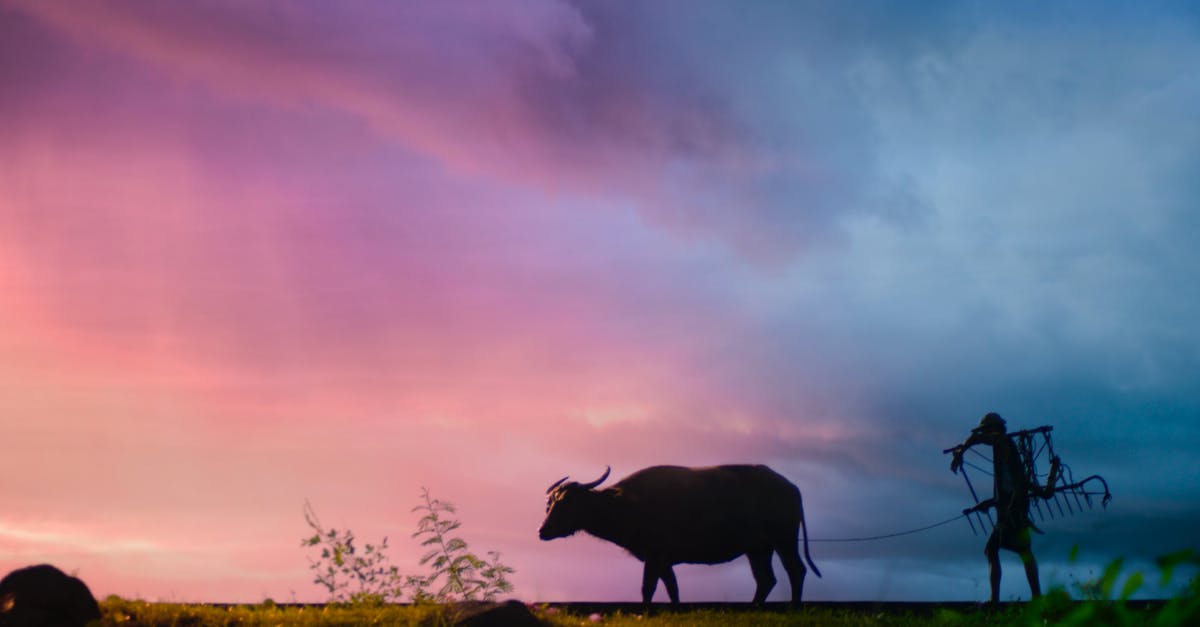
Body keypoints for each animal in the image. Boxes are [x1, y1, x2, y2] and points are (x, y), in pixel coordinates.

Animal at [540, 461, 820, 602]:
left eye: (568, 502)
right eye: (551, 503)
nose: (542, 530)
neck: (629, 505)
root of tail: (791, 487)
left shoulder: (654, 556)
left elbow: (648, 588)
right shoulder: (663, 561)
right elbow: (672, 589)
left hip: (784, 541)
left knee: (795, 571)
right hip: (758, 550)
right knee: (766, 579)